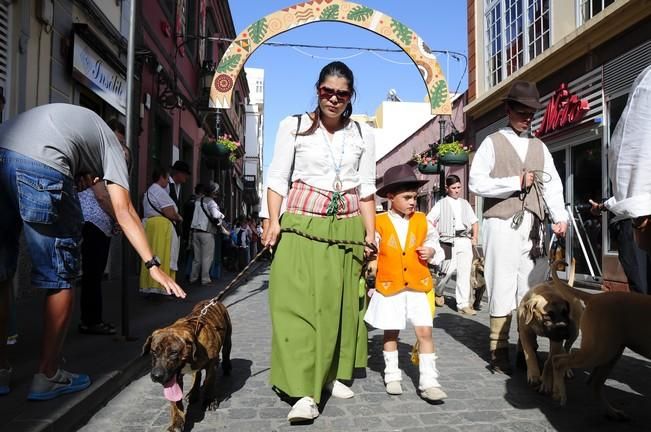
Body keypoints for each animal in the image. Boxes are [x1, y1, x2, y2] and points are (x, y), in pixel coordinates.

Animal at [143, 298, 234, 432]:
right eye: (154, 351)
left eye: (174, 352)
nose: (156, 376)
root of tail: (212, 300)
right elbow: (175, 402)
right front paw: (177, 422)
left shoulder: (212, 365)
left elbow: (209, 383)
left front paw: (208, 400)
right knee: (197, 375)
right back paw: (193, 393)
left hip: (228, 337)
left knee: (226, 352)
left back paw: (227, 367)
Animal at [516, 260, 584, 392]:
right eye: (547, 315)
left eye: (565, 313)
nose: (563, 330)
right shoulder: (525, 333)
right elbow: (529, 353)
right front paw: (534, 375)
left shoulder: (556, 339)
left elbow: (549, 361)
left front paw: (546, 382)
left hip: (574, 333)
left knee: (566, 349)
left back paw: (566, 370)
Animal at [552, 268, 651, 420]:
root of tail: (594, 298)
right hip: (599, 351)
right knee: (559, 361)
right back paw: (561, 395)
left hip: (610, 353)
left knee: (595, 384)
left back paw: (611, 412)